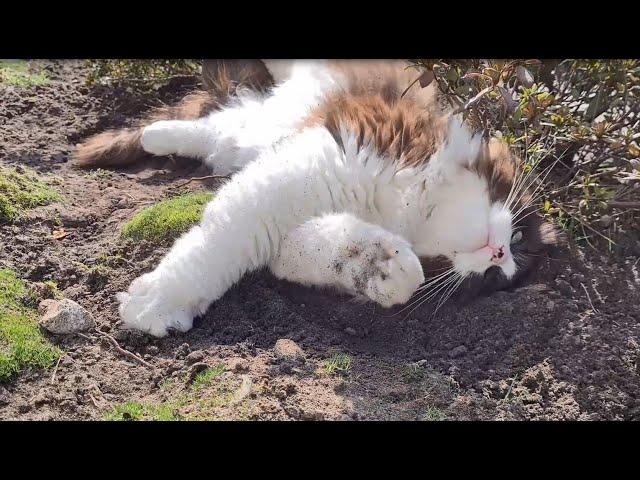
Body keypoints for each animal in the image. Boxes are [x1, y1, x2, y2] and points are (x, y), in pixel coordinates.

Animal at [72, 61, 556, 338]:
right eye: (516, 236)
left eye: (495, 278)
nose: (499, 253)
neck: (407, 204)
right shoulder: (317, 159)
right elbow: (217, 245)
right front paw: (158, 303)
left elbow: (320, 251)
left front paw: (380, 268)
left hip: (253, 132)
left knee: (218, 131)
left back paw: (155, 138)